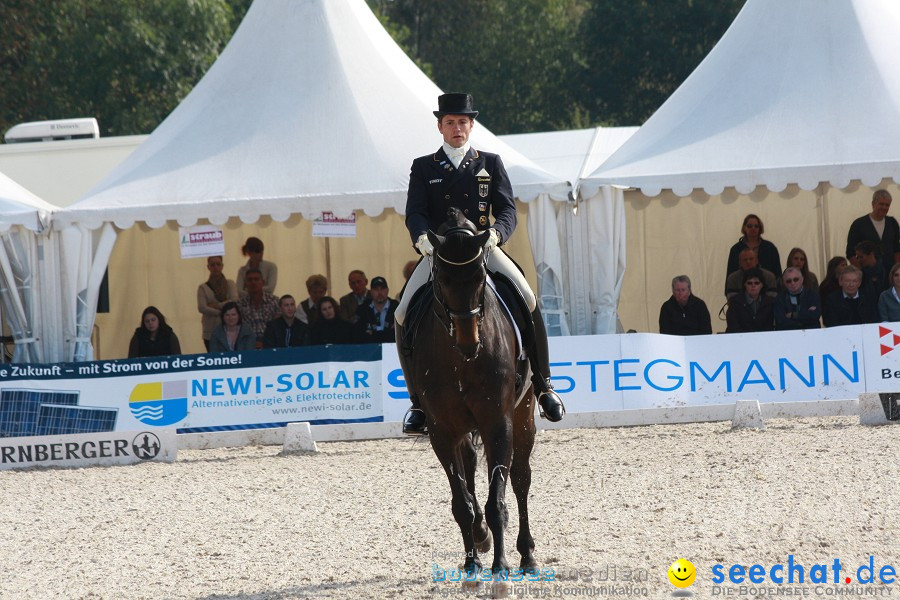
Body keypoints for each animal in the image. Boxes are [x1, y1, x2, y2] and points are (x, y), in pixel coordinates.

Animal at [398, 209, 536, 592]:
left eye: (480, 278)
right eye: (442, 280)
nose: (468, 343)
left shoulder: (498, 423)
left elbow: (497, 499)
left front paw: (501, 570)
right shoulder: (442, 431)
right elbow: (462, 503)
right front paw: (473, 564)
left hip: (524, 415)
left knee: (520, 479)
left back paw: (527, 555)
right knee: (473, 471)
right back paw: (481, 538)